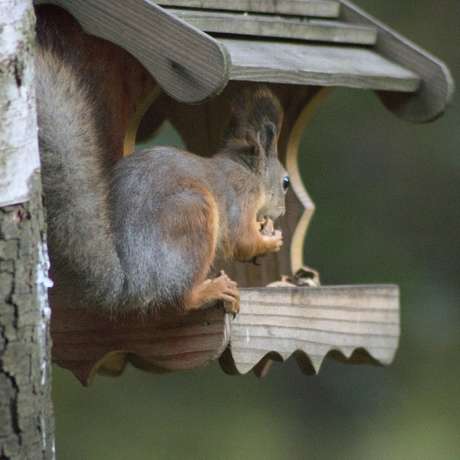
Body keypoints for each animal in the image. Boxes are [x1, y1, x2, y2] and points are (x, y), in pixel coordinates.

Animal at [35, 14, 289, 316]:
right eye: (286, 183)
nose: (283, 211)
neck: (247, 170)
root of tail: (133, 283)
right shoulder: (242, 195)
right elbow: (242, 240)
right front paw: (271, 241)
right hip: (191, 216)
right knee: (180, 298)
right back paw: (211, 291)